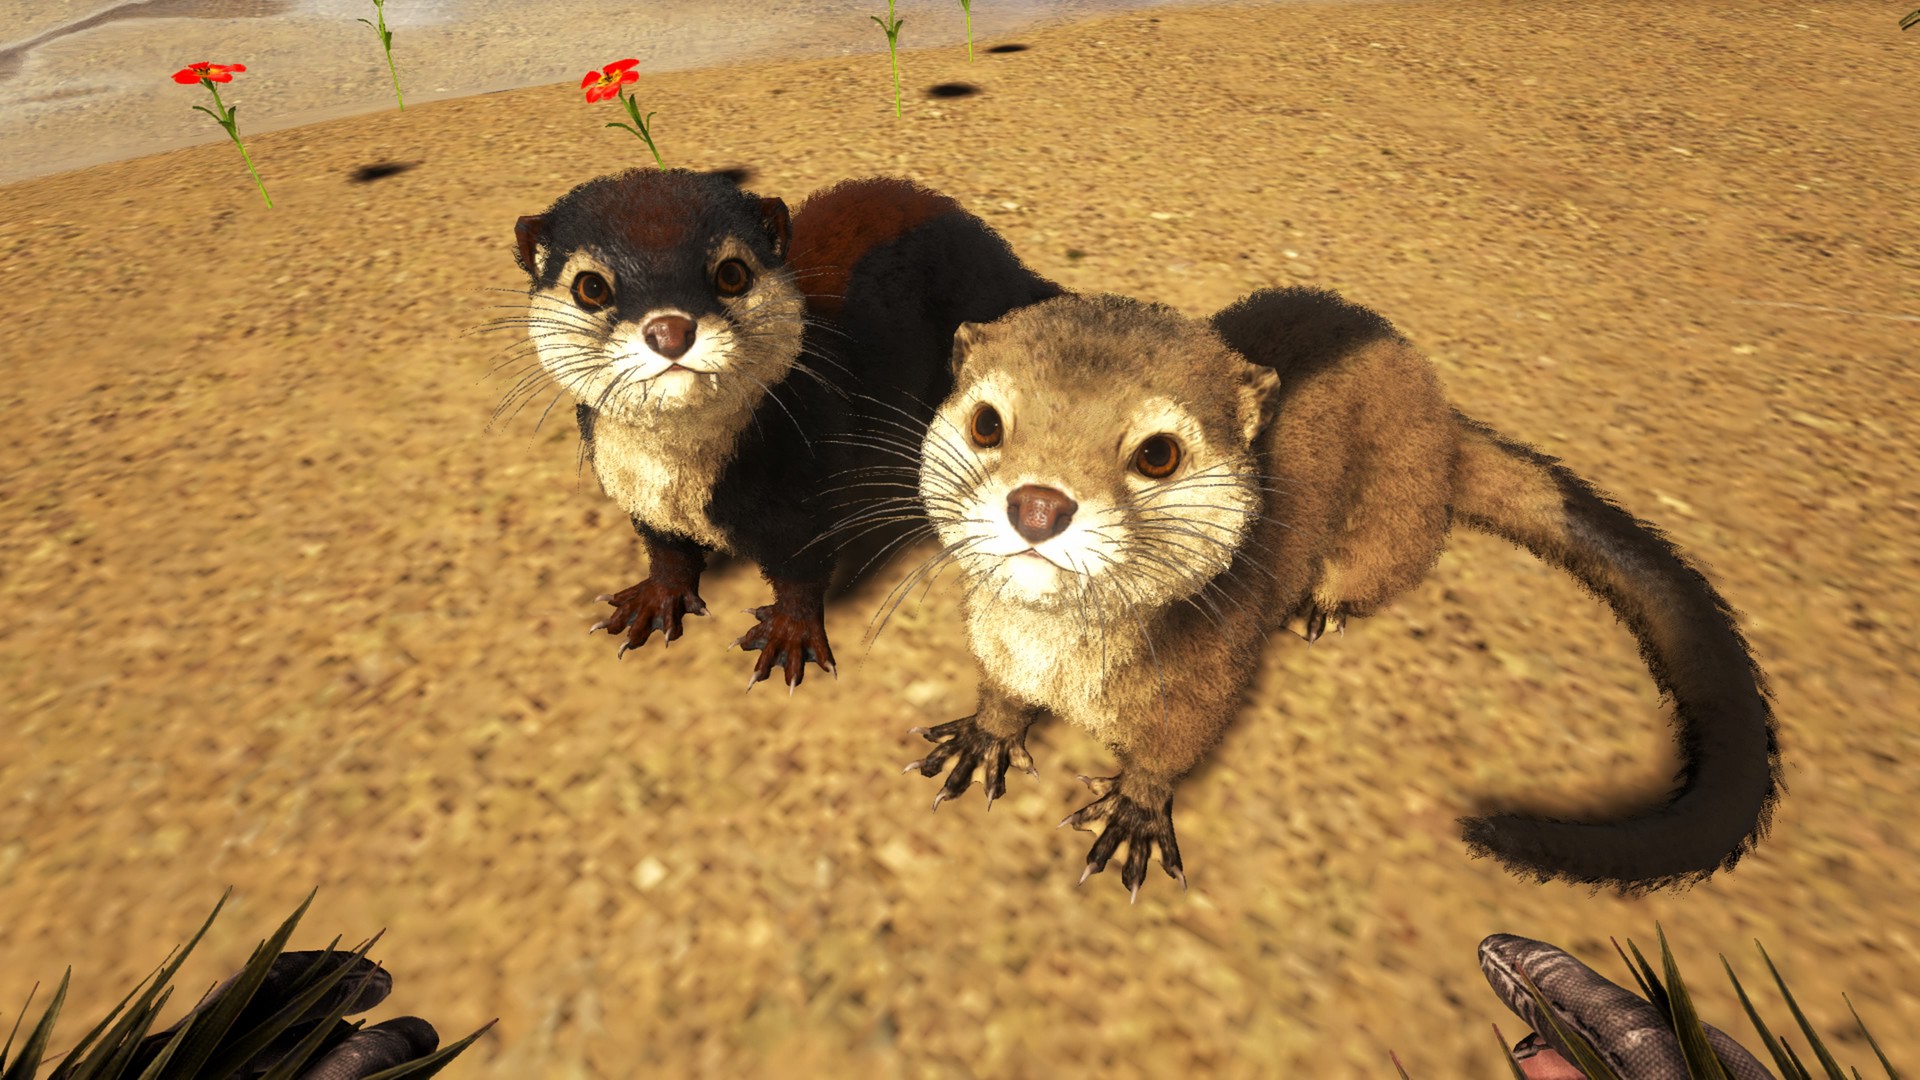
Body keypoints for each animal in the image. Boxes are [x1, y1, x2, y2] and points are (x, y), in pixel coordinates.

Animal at [898, 288, 1779, 900]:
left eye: (1157, 452)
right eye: (987, 422)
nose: (1039, 505)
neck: (1060, 664)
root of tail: (1445, 418)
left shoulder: (1208, 677)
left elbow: (1172, 750)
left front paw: (1135, 816)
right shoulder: (998, 649)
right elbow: (998, 698)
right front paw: (983, 740)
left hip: (1397, 510)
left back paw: (1322, 608)